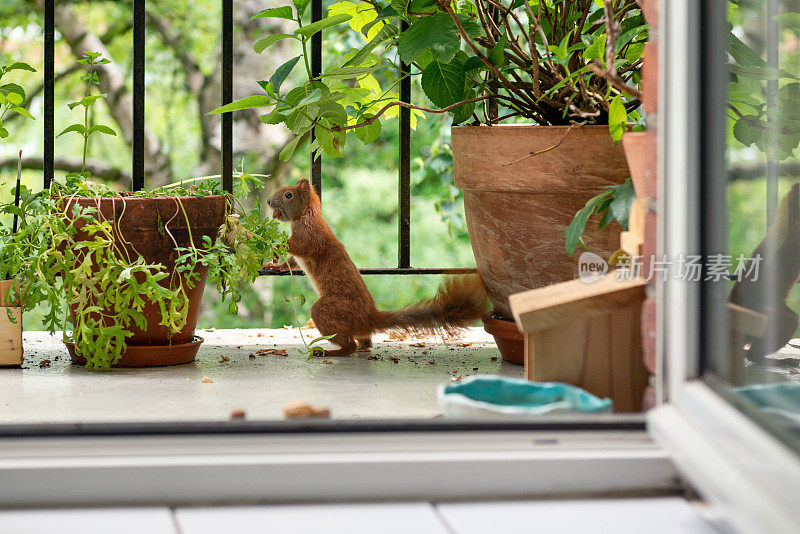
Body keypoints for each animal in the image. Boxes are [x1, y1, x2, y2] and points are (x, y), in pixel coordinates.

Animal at [266, 178, 488, 358]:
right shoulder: (300, 252)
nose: (268, 201)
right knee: (365, 342)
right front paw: (274, 265)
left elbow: (297, 247)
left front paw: (272, 244)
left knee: (350, 345)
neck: (306, 214)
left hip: (328, 311)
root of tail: (369, 318)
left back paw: (331, 352)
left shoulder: (309, 236)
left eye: (288, 194)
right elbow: (292, 262)